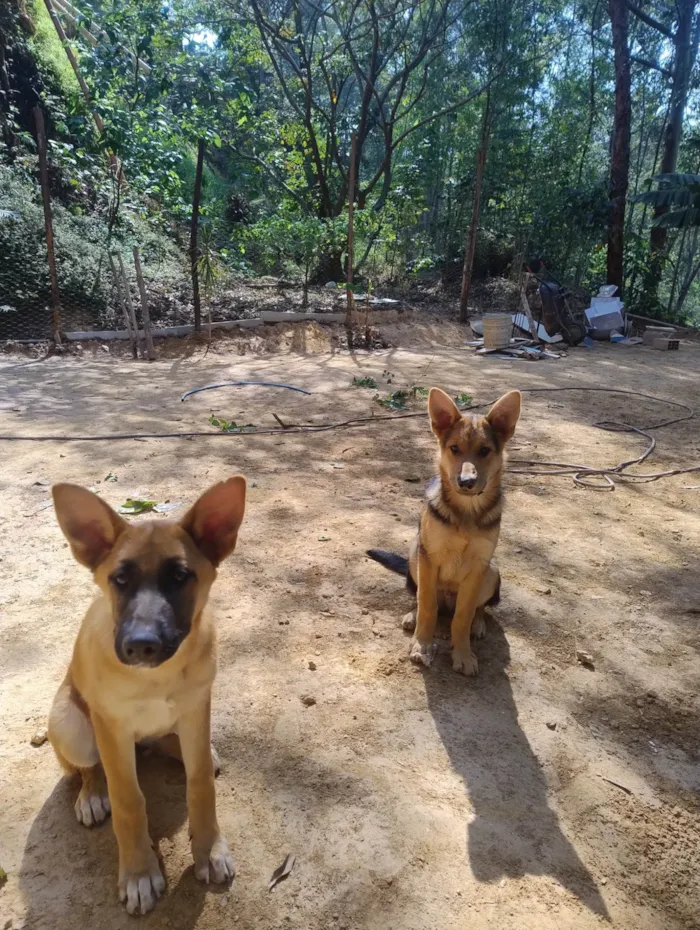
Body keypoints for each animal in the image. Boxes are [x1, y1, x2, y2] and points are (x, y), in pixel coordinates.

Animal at [45, 478, 243, 912]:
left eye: (180, 576)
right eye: (120, 579)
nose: (141, 645)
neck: (157, 677)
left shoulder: (196, 709)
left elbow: (200, 782)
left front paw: (209, 849)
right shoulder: (112, 728)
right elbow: (128, 800)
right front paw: (138, 873)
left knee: (179, 748)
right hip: (69, 724)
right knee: (86, 768)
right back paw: (91, 795)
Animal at [370, 386, 516, 676]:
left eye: (485, 451)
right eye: (454, 449)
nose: (467, 482)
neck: (466, 512)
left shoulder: (478, 566)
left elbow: (463, 615)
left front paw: (463, 654)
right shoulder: (429, 557)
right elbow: (427, 605)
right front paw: (422, 645)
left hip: (492, 572)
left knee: (477, 608)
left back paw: (477, 625)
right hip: (415, 555)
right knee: (423, 599)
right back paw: (413, 615)